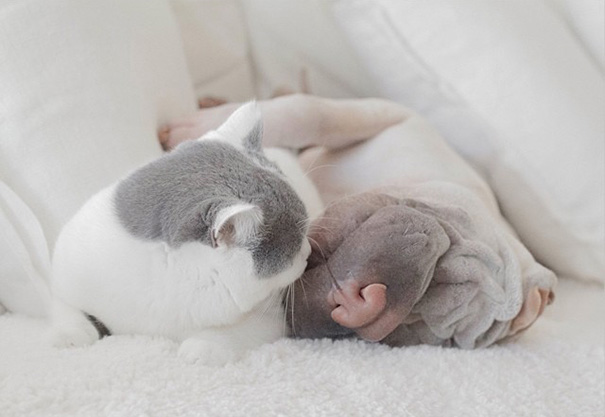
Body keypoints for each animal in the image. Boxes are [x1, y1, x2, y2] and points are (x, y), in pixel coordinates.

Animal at [49, 101, 318, 364]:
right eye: (294, 245)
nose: (309, 251)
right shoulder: (65, 268)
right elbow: (63, 305)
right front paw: (70, 335)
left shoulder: (271, 314)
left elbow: (235, 332)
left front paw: (202, 347)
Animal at [162, 94, 556, 348]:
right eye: (441, 275)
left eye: (405, 331)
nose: (363, 308)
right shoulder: (391, 116)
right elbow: (310, 112)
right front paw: (200, 128)